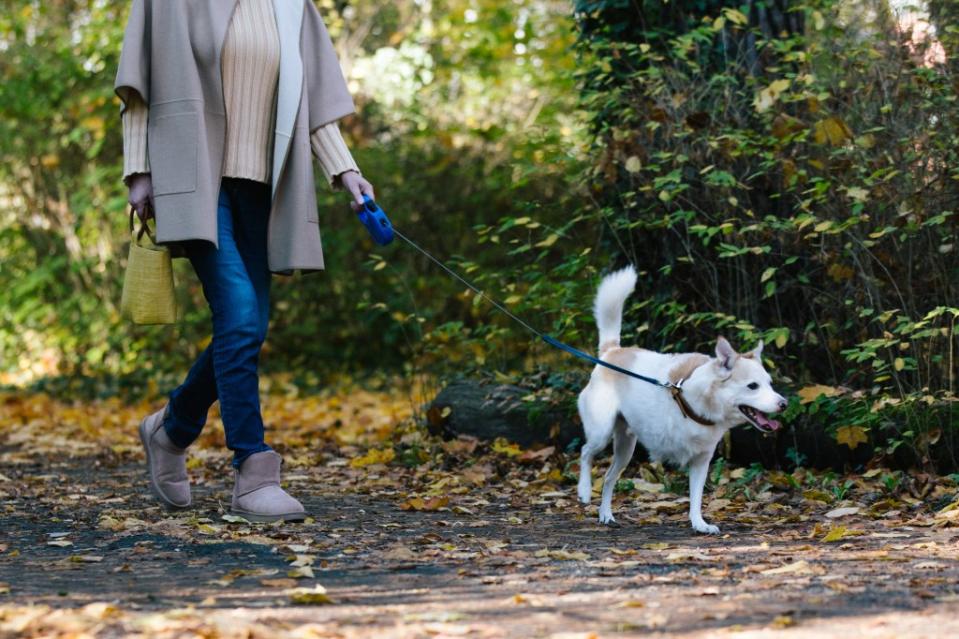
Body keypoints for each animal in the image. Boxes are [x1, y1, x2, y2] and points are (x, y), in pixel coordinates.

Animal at [576, 264, 788, 536]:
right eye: (753, 386)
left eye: (770, 384)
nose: (783, 404)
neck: (702, 402)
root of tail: (612, 352)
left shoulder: (701, 461)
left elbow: (696, 498)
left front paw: (699, 524)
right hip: (601, 433)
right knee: (585, 453)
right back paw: (583, 490)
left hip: (625, 448)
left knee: (609, 477)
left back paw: (606, 514)